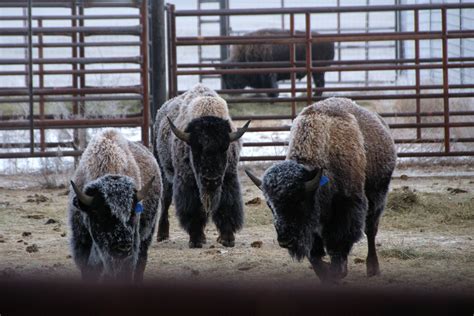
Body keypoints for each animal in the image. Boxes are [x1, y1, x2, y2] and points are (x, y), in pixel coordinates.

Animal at [154, 84, 250, 249]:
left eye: (224, 148)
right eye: (196, 148)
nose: (211, 180)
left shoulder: (228, 179)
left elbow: (226, 206)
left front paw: (227, 239)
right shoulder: (188, 183)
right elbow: (193, 209)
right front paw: (196, 240)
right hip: (164, 173)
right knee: (165, 201)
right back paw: (162, 235)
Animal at [244, 97, 396, 282]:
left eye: (300, 201)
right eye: (270, 205)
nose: (285, 241)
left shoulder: (346, 210)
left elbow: (338, 247)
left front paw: (338, 272)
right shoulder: (312, 229)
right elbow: (315, 256)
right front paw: (328, 273)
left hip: (377, 196)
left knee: (371, 231)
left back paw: (373, 268)